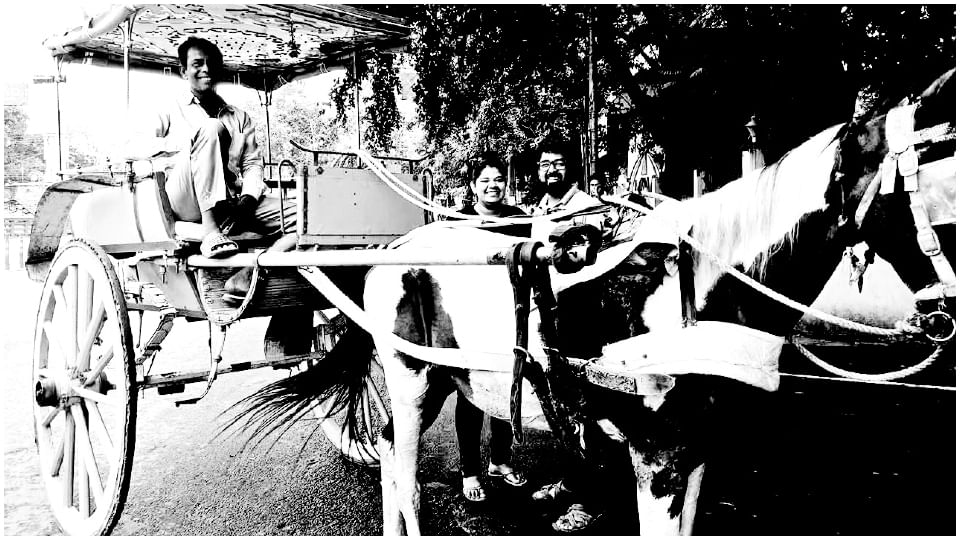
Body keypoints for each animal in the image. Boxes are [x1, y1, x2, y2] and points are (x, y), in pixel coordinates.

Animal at [227, 68, 955, 535]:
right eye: (926, 182)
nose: (941, 313)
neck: (696, 295)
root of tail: (391, 251)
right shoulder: (656, 459)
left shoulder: (692, 451)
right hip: (408, 378)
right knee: (402, 474)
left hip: (442, 379)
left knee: (388, 460)